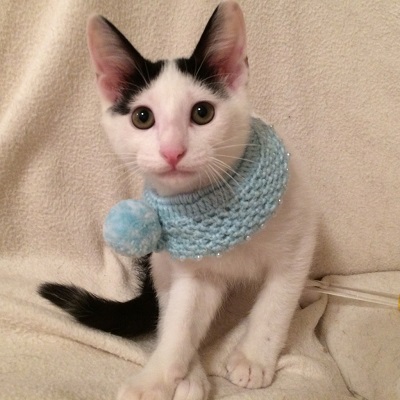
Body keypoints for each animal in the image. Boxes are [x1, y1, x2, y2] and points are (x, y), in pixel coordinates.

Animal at [39, 1, 317, 399]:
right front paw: (154, 379)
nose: (173, 151)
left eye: (203, 112)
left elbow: (275, 306)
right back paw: (192, 376)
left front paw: (253, 358)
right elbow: (181, 323)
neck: (217, 210)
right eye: (142, 117)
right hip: (160, 260)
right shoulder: (192, 269)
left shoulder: (297, 241)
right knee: (167, 308)